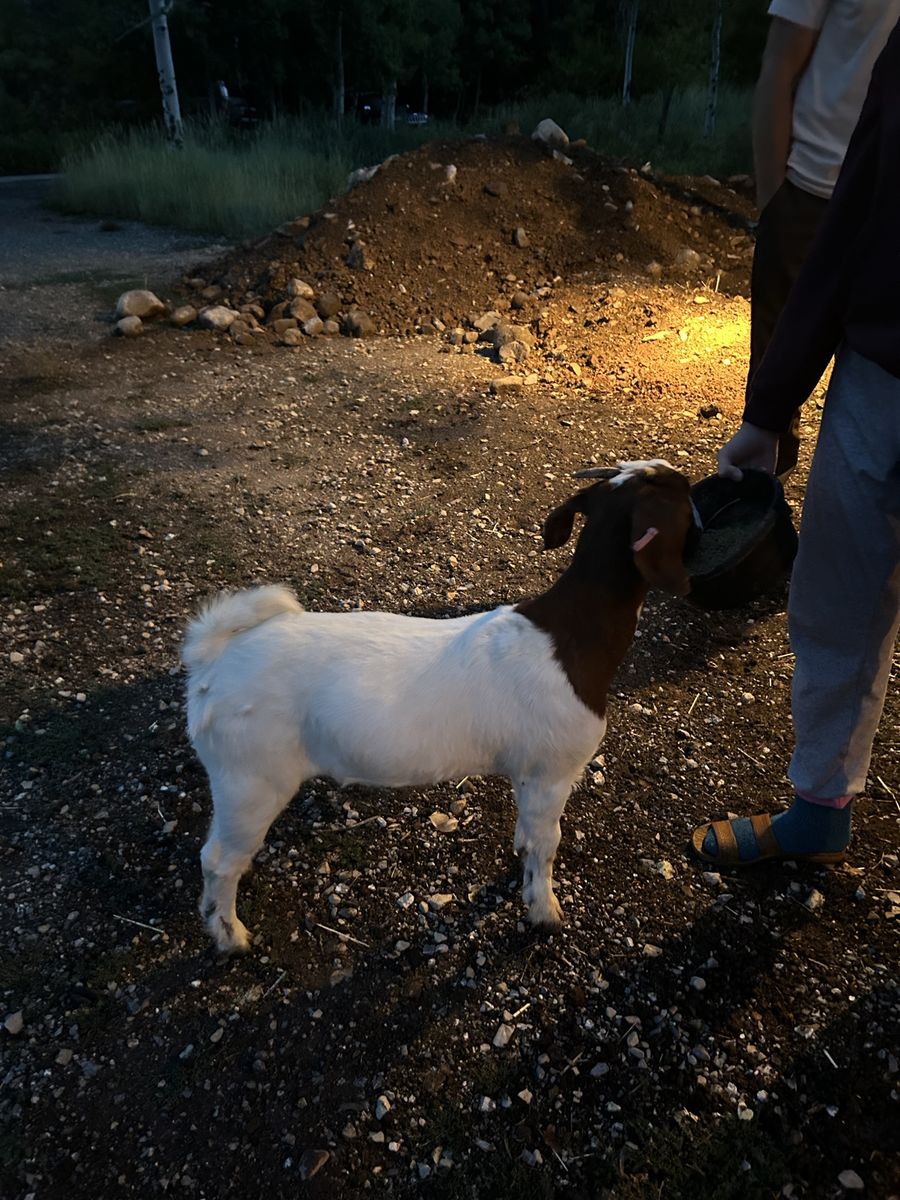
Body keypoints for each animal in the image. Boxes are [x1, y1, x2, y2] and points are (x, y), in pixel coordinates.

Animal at [183, 461, 696, 953]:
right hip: (249, 777)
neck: (572, 636)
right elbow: (548, 844)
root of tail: (215, 658)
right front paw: (544, 910)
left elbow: (529, 836)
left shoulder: (528, 773)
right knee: (218, 858)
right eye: (683, 496)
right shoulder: (553, 772)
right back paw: (230, 936)